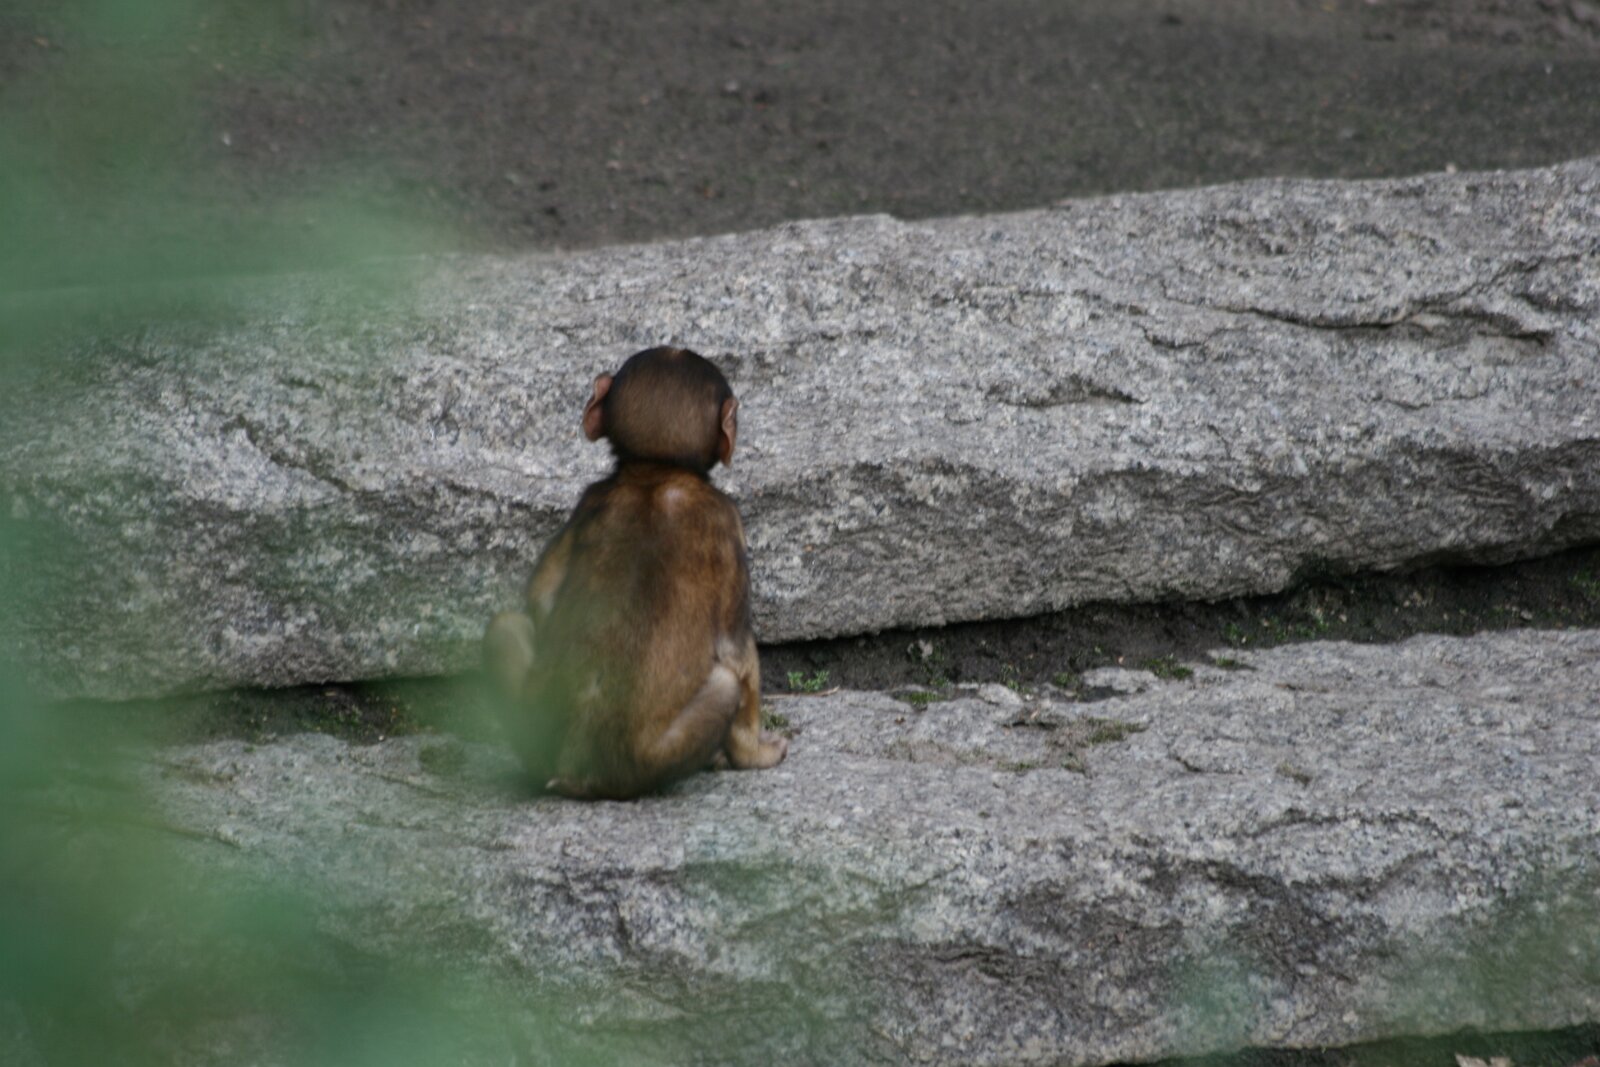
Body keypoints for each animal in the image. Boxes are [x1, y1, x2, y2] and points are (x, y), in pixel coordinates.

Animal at [484, 346, 788, 800]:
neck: (655, 471)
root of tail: (577, 771)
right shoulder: (727, 521)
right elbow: (738, 652)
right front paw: (757, 753)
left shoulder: (589, 499)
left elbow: (541, 597)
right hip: (646, 762)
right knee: (727, 681)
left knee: (505, 626)